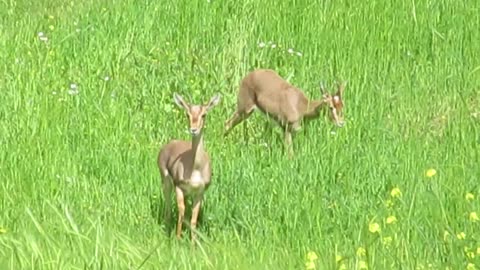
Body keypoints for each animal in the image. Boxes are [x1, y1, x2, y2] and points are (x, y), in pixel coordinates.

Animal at [159, 92, 221, 243]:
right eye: (187, 114)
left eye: (204, 114)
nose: (193, 130)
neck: (196, 169)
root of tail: (168, 145)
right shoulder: (179, 187)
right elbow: (181, 212)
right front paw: (177, 239)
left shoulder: (199, 192)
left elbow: (193, 219)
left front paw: (193, 244)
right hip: (167, 184)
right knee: (169, 208)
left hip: (187, 193)